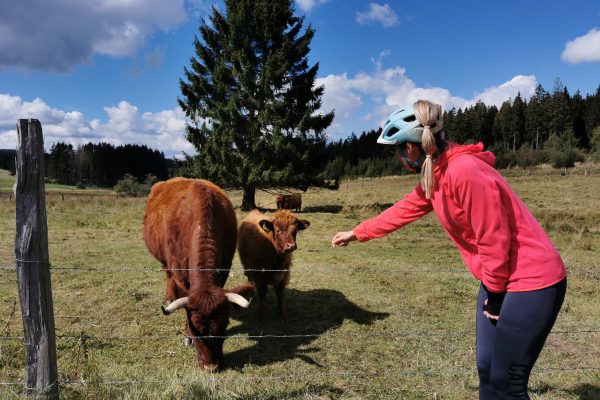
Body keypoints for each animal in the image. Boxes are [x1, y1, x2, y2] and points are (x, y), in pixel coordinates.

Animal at [143, 178, 253, 372]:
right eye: (195, 332)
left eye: (224, 326)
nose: (211, 367)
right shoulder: (180, 274)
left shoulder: (224, 268)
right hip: (164, 261)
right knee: (167, 275)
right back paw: (170, 296)